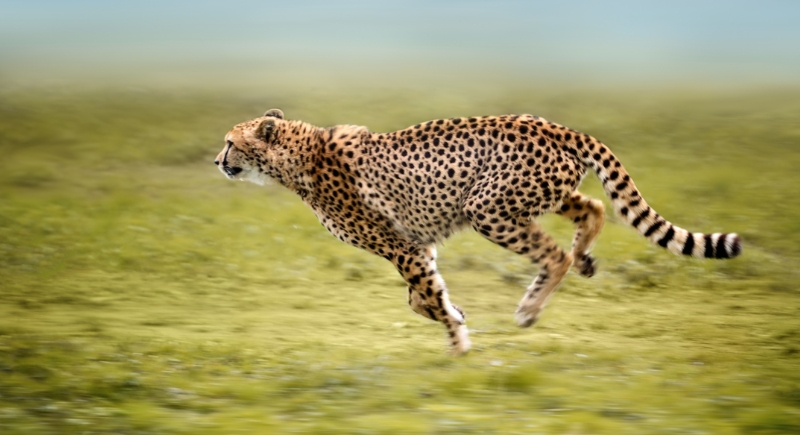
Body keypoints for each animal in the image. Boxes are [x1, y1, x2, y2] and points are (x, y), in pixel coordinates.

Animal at [215, 108, 742, 355]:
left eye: (230, 143)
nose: (218, 161)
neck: (297, 155)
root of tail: (551, 125)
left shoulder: (403, 248)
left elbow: (423, 296)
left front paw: (458, 345)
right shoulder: (417, 247)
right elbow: (420, 298)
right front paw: (457, 315)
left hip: (488, 208)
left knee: (555, 254)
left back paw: (530, 308)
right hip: (538, 194)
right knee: (592, 207)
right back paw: (586, 259)